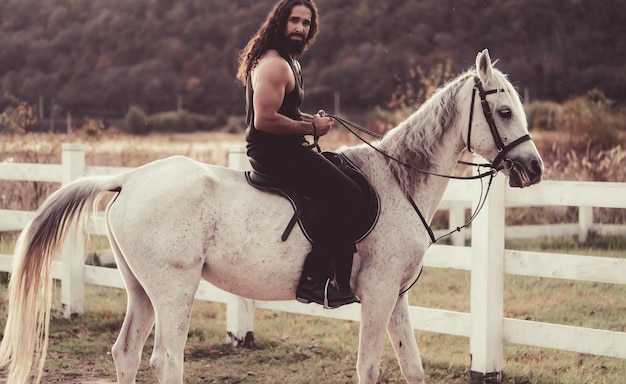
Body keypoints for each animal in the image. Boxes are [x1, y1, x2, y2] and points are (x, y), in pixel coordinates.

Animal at [0, 49, 540, 382]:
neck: (398, 183)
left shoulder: (395, 295)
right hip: (174, 289)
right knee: (167, 361)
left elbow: (412, 367)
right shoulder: (379, 293)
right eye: (505, 112)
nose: (534, 168)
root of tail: (130, 179)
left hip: (142, 290)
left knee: (127, 353)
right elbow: (369, 367)